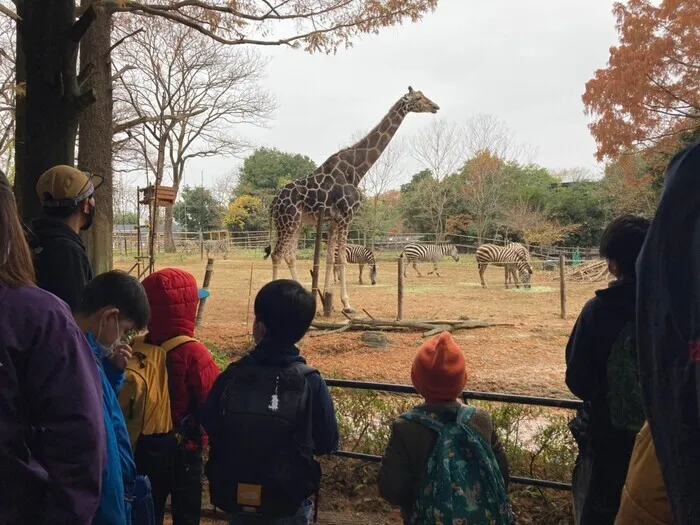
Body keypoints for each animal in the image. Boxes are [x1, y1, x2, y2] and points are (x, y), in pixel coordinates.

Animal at [262, 86, 438, 312]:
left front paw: (329, 301)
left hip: (296, 222)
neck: (357, 169)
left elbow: (330, 258)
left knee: (289, 255)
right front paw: (347, 304)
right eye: (418, 98)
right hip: (287, 221)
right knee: (277, 254)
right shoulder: (347, 215)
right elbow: (343, 260)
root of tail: (273, 203)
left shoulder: (334, 219)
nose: (435, 107)